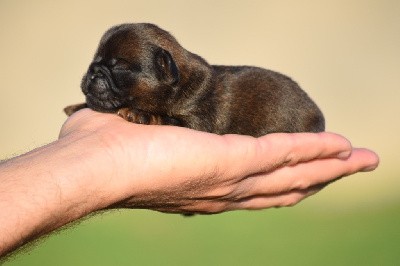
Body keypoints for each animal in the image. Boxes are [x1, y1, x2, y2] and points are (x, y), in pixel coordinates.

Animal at [64, 23, 324, 136]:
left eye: (119, 67)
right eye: (94, 61)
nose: (94, 71)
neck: (177, 84)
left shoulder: (197, 122)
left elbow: (167, 118)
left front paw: (140, 114)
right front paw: (76, 106)